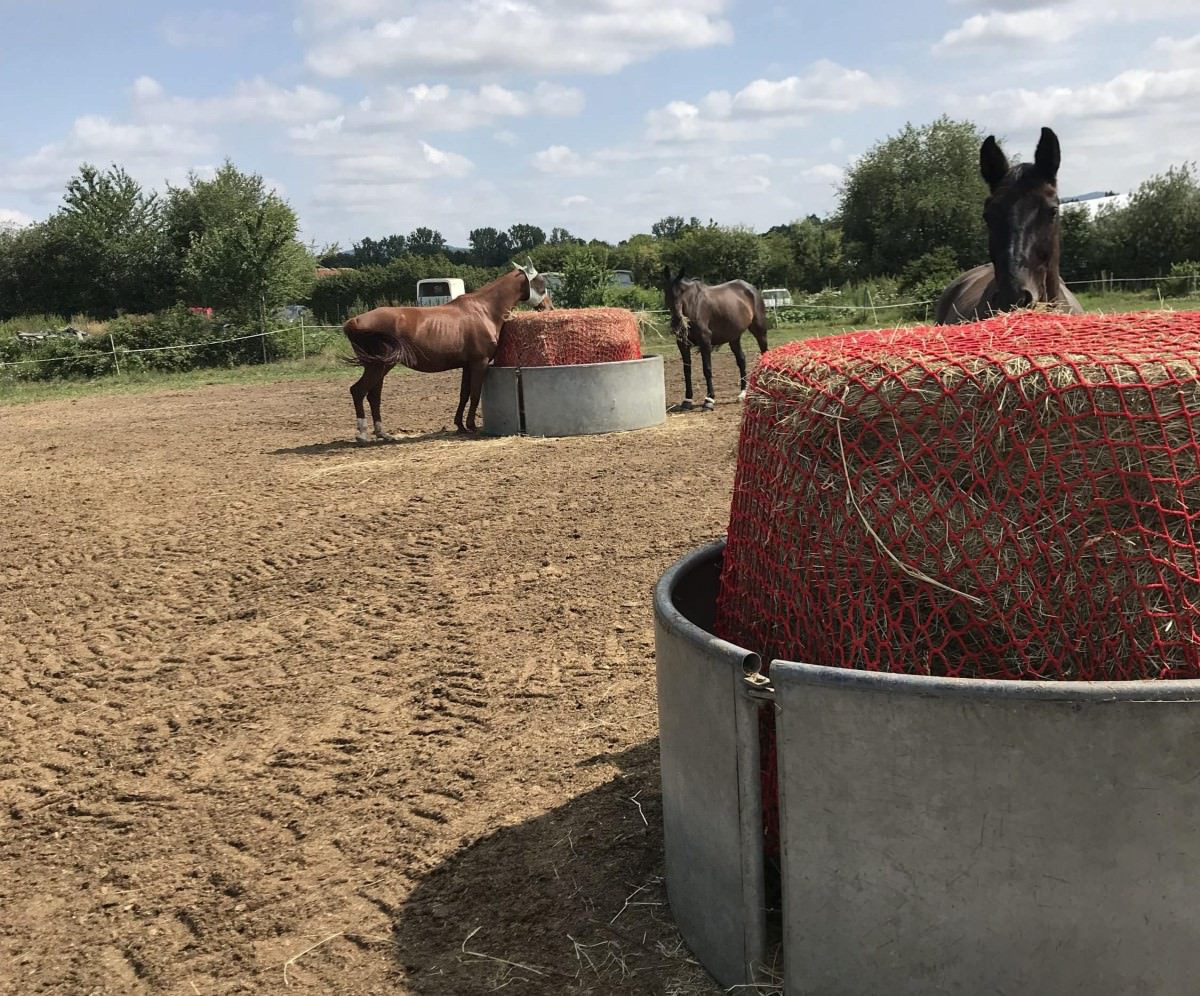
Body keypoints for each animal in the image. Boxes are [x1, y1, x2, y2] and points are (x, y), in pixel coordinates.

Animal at [343, 261, 549, 444]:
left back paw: (382, 434)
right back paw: (362, 434)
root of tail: (355, 321)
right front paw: (471, 425)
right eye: (541, 284)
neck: (484, 310)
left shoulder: (467, 365)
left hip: (381, 367)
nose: (548, 307)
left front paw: (460, 425)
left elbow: (464, 394)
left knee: (373, 396)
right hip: (378, 366)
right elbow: (475, 394)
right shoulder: (479, 363)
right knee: (358, 391)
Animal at [667, 267, 768, 410]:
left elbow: (707, 369)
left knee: (765, 353)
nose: (677, 320)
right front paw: (687, 400)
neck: (694, 305)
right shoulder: (683, 344)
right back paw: (742, 394)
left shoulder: (705, 342)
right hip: (734, 337)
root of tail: (751, 288)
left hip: (759, 331)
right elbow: (687, 371)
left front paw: (709, 400)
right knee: (741, 360)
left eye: (682, 292)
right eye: (667, 291)